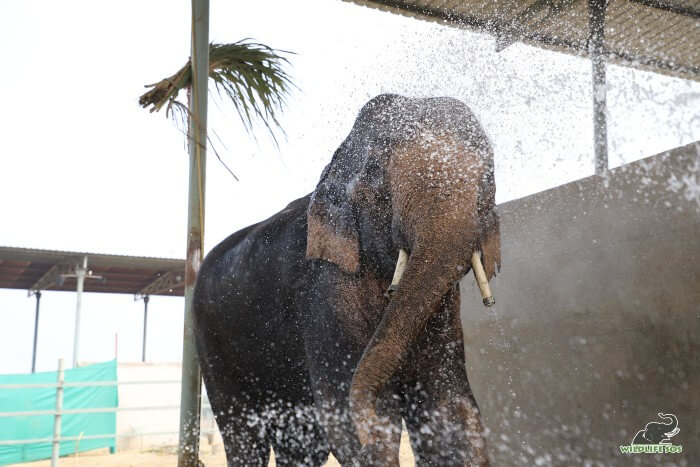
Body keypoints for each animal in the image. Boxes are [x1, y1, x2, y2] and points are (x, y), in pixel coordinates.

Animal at [191, 93, 498, 466]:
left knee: (302, 443)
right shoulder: (326, 294)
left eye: (488, 178)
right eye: (376, 176)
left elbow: (452, 410)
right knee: (243, 435)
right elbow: (351, 418)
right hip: (210, 343)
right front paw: (368, 435)